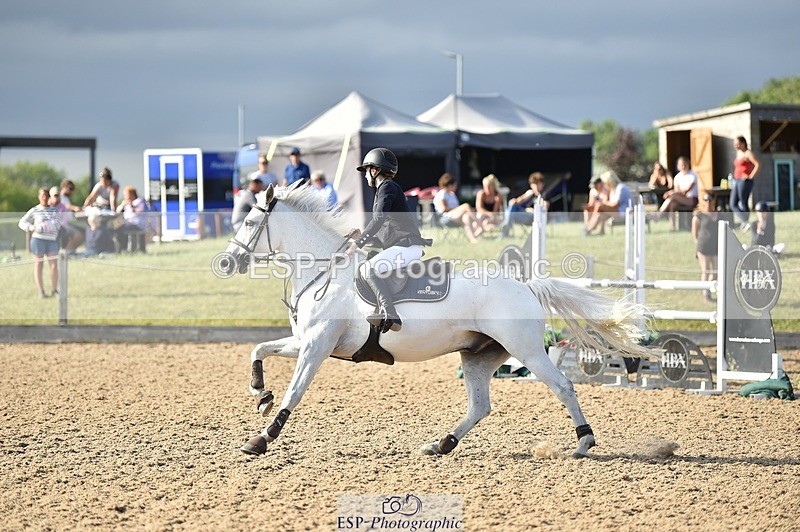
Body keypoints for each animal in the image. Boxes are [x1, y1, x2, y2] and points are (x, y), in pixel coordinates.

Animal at [218, 182, 653, 458]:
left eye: (250, 223)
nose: (226, 262)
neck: (326, 271)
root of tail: (526, 286)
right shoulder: (307, 342)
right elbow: (260, 349)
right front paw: (259, 392)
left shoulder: (317, 347)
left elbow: (294, 394)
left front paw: (261, 438)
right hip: (479, 355)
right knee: (480, 406)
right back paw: (441, 444)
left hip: (526, 350)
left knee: (563, 386)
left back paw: (584, 443)